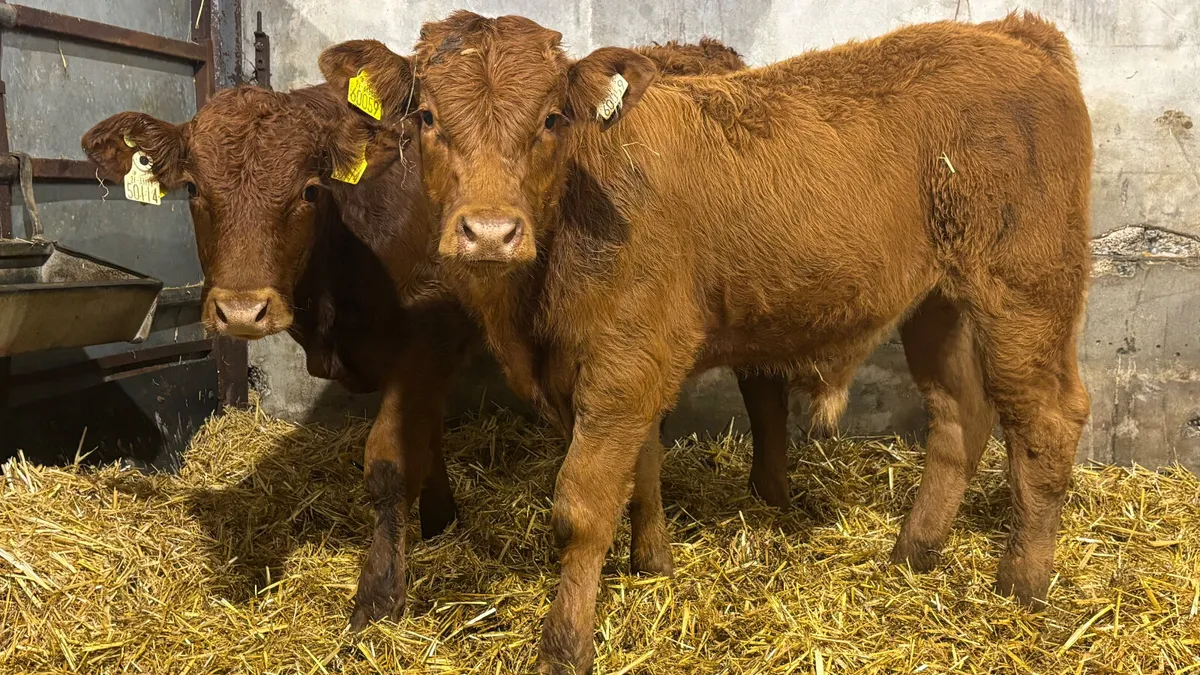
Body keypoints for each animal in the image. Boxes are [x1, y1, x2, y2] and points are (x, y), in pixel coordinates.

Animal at [81, 38, 756, 633]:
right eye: (195, 189)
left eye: (308, 189)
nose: (243, 311)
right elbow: (424, 439)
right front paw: (439, 520)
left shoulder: (426, 340)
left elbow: (387, 461)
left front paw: (379, 595)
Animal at [321, 10, 1093, 673]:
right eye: (426, 116)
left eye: (550, 117)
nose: (488, 231)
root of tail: (1012, 34)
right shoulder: (628, 369)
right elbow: (640, 469)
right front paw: (651, 566)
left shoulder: (627, 361)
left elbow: (581, 507)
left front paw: (565, 646)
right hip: (939, 303)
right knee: (960, 413)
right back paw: (914, 550)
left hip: (1029, 286)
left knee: (1048, 420)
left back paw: (1022, 582)